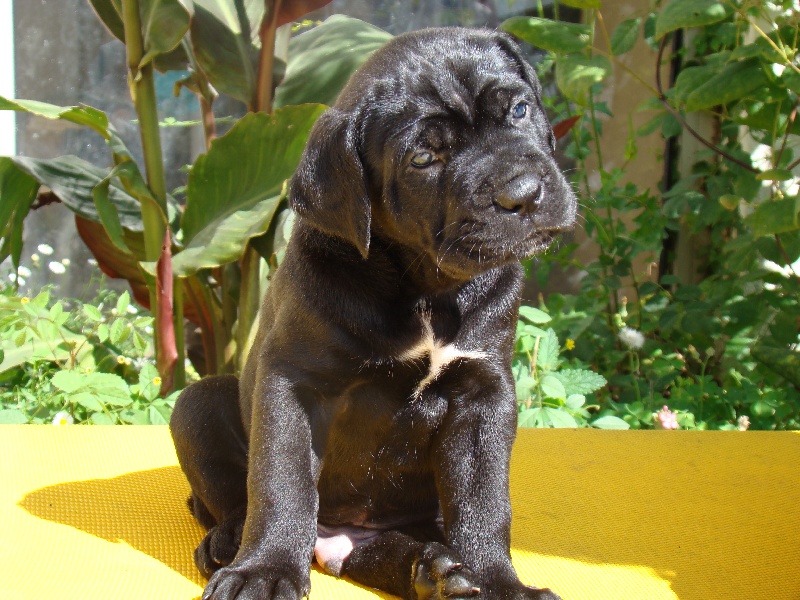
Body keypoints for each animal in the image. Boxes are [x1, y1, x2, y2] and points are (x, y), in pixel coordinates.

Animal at [172, 25, 580, 596]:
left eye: (519, 110)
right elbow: (281, 479)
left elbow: (484, 499)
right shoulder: (293, 382)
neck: (426, 287)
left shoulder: (484, 391)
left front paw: (498, 582)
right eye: (422, 159)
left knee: (392, 547)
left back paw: (436, 572)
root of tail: (335, 539)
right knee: (225, 495)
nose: (522, 193)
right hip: (198, 404)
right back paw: (228, 544)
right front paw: (264, 571)